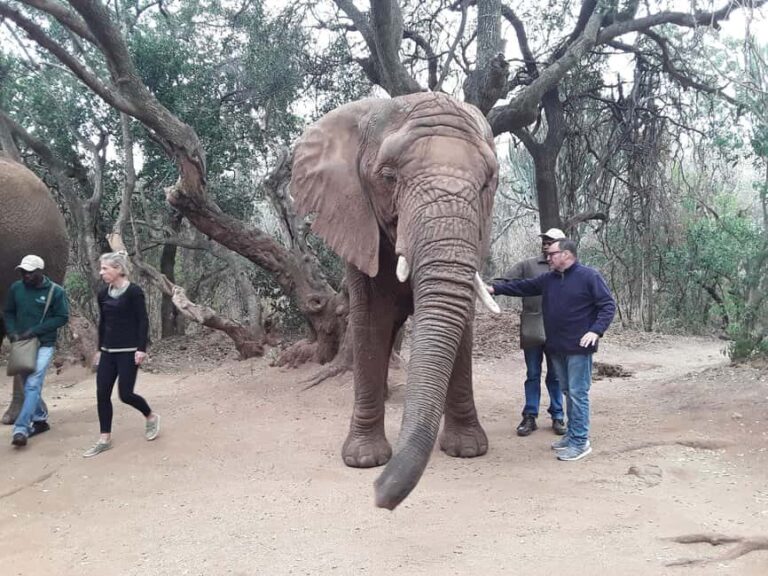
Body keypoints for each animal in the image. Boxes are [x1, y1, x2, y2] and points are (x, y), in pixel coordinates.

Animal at [291, 92, 500, 510]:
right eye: (388, 178)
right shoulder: (356, 219)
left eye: (487, 182)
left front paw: (467, 451)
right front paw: (363, 460)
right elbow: (371, 319)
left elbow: (461, 322)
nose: (379, 496)